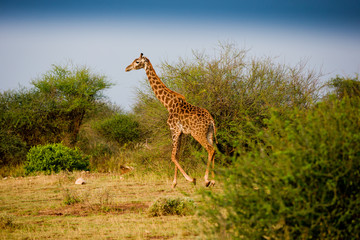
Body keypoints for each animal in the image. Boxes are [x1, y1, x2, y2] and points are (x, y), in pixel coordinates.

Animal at [126, 53, 217, 188]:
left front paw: (190, 179)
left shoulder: (174, 130)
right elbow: (177, 155)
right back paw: (214, 180)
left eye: (137, 62)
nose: (127, 68)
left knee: (210, 149)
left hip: (197, 133)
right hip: (209, 133)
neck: (167, 104)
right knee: (214, 149)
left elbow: (173, 156)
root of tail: (211, 120)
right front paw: (175, 183)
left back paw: (206, 180)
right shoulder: (181, 133)